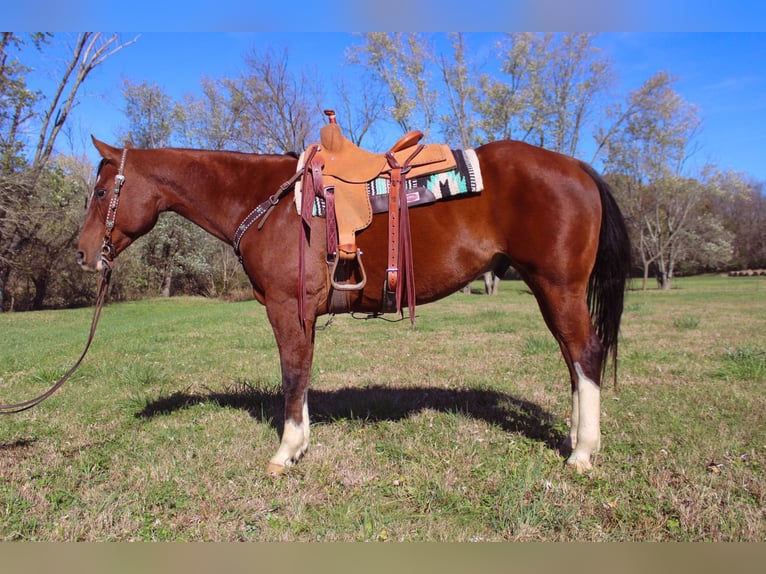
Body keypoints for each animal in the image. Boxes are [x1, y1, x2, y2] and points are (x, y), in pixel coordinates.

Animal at [76, 136, 632, 476]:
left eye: (101, 191)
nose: (82, 254)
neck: (271, 203)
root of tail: (576, 167)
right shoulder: (302, 314)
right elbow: (302, 374)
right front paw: (300, 443)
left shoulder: (286, 307)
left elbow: (292, 374)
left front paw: (284, 452)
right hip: (551, 290)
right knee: (574, 359)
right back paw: (576, 440)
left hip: (556, 286)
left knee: (585, 354)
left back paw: (582, 454)